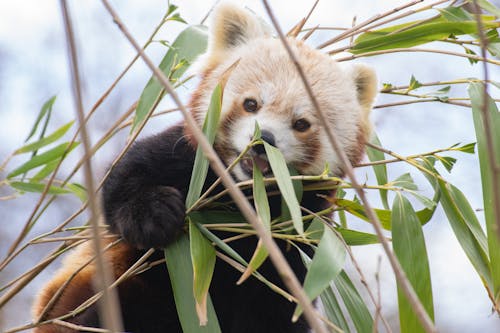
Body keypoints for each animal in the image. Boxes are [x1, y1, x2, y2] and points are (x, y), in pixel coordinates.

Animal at [32, 3, 376, 332]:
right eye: (251, 104)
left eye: (301, 123)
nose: (262, 139)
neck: (246, 199)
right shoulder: (186, 155)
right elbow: (125, 178)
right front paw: (152, 215)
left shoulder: (299, 238)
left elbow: (278, 305)